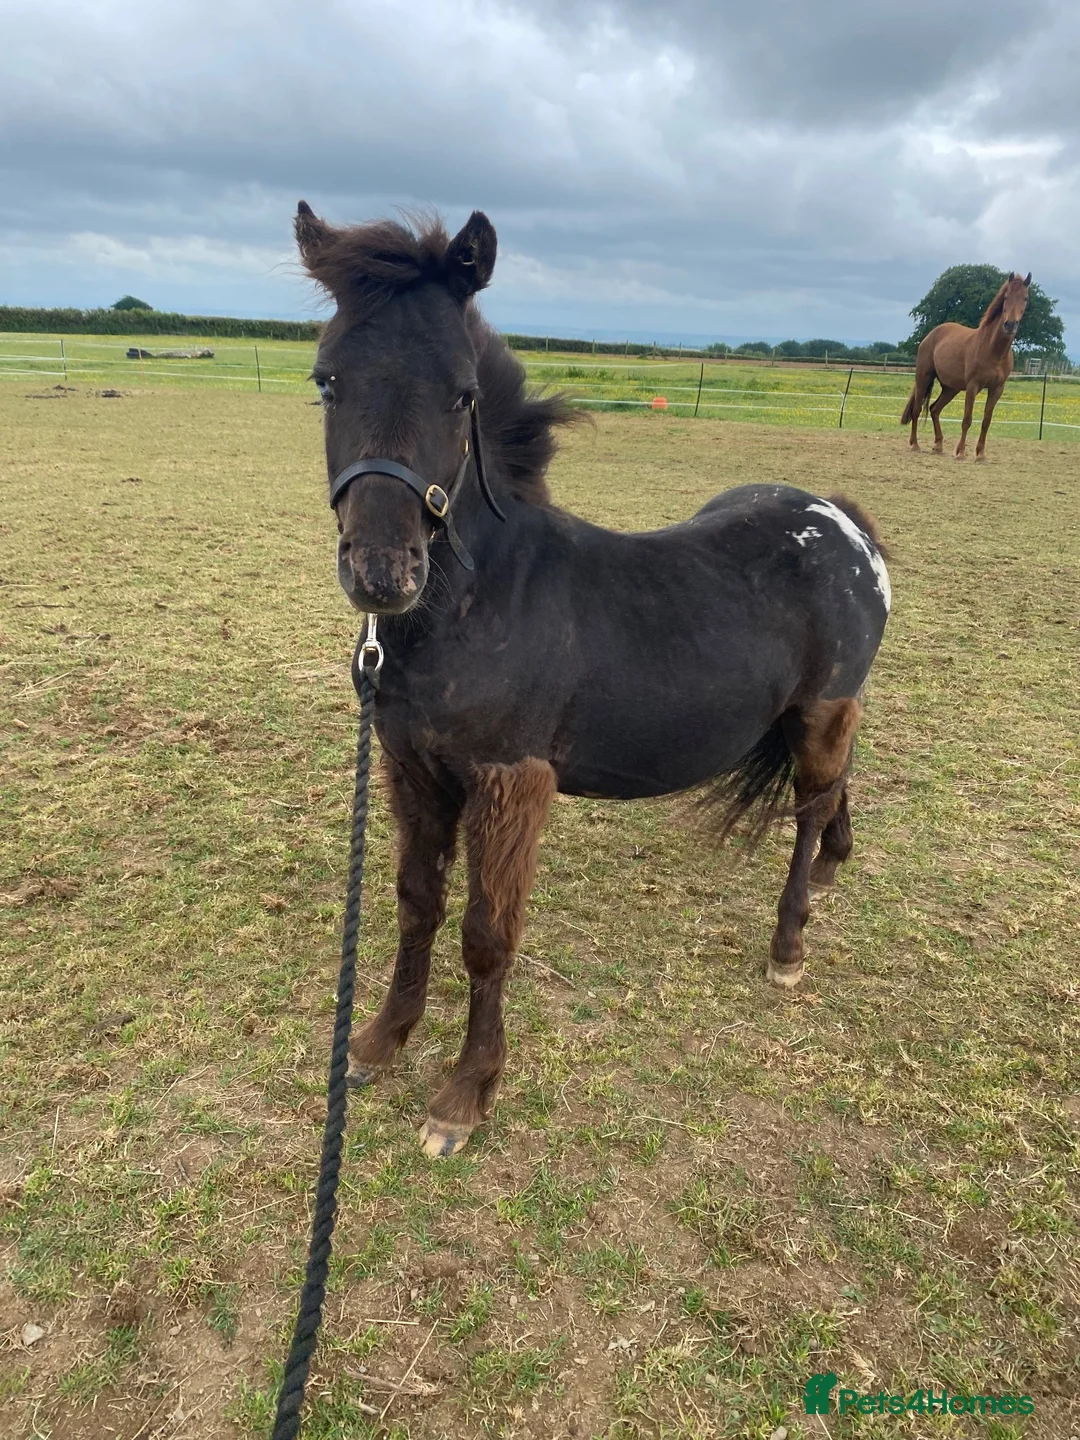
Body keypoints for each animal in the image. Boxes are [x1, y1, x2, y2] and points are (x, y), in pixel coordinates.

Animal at [294, 202, 891, 1158]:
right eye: (326, 382)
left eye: (461, 395)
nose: (384, 572)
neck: (478, 603)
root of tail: (842, 520)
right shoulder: (412, 770)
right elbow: (417, 902)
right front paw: (380, 1042)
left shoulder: (512, 783)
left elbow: (487, 934)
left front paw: (464, 1095)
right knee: (835, 793)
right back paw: (837, 865)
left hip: (822, 709)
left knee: (808, 808)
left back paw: (790, 943)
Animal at [900, 272, 1031, 460]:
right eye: (1006, 297)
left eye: (1025, 298)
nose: (1010, 324)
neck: (993, 350)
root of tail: (930, 335)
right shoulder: (973, 386)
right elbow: (967, 419)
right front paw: (961, 452)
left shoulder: (997, 389)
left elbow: (986, 421)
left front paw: (981, 454)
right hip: (923, 378)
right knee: (917, 409)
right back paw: (915, 445)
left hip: (951, 388)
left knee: (934, 409)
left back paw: (938, 445)